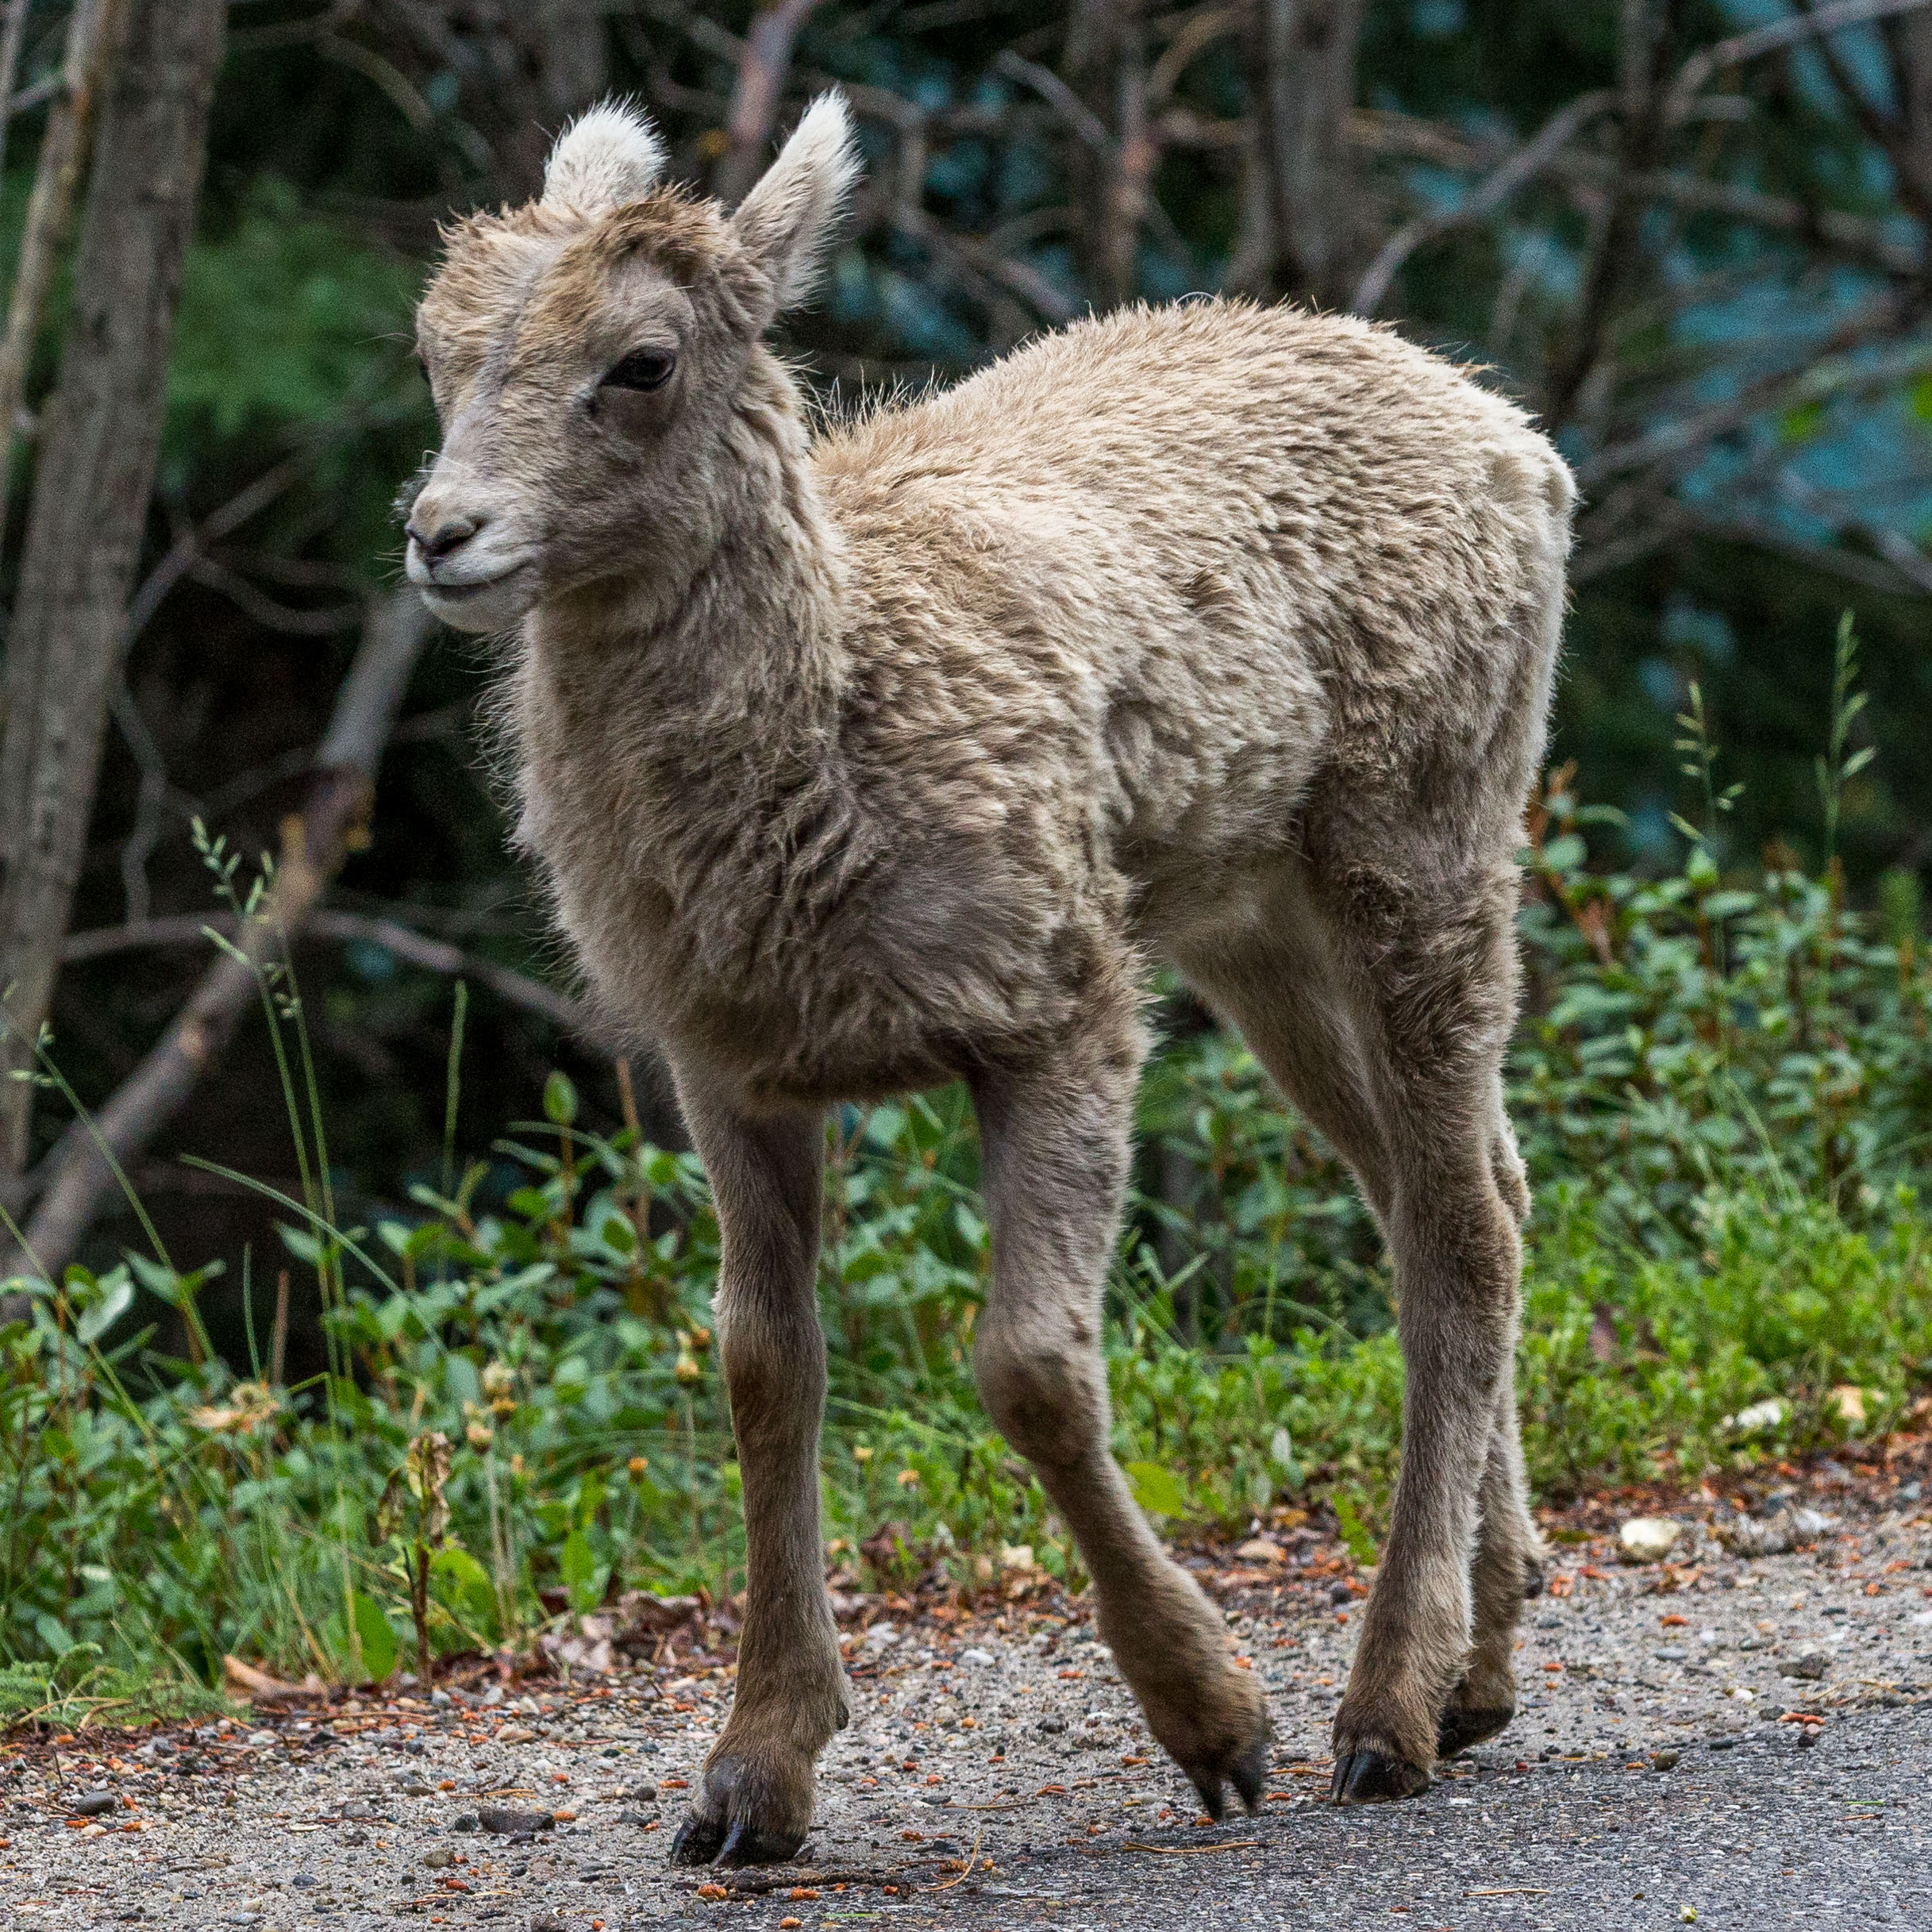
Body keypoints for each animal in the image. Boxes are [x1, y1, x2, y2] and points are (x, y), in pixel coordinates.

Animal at [403, 93, 1574, 1868]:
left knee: (1459, 1221)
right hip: (1251, 922)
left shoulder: (1057, 997)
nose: (440, 534)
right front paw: (746, 1783)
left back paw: (1382, 1709)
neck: (830, 749)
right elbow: (762, 1369)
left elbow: (1027, 1365)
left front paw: (1214, 1724)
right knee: (1450, 1182)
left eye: (642, 360)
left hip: (1426, 830)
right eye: (435, 342)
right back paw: (1482, 1666)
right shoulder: (721, 1061)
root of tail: (1517, 443)